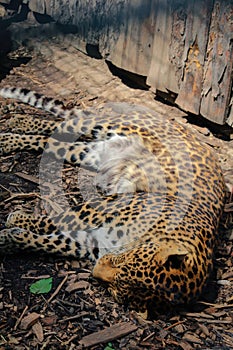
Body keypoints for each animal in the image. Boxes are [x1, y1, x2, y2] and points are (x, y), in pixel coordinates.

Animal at [0, 87, 226, 314]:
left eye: (117, 289)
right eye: (122, 261)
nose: (95, 271)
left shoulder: (90, 242)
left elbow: (48, 242)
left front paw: (10, 238)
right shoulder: (103, 209)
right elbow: (59, 218)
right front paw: (16, 221)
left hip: (92, 151)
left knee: (55, 142)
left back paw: (11, 138)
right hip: (112, 125)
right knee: (65, 124)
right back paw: (14, 125)